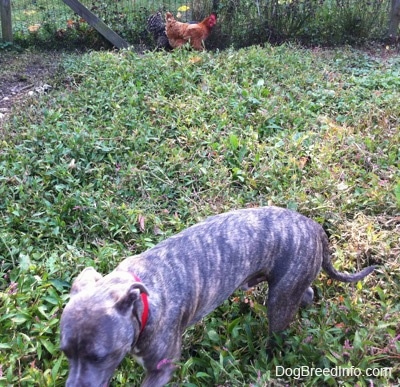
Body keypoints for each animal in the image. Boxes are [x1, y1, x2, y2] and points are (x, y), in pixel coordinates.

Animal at [59, 208, 376, 386]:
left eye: (100, 356)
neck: (142, 300)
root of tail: (314, 226)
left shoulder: (161, 369)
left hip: (278, 303)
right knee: (306, 291)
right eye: (65, 353)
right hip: (288, 285)